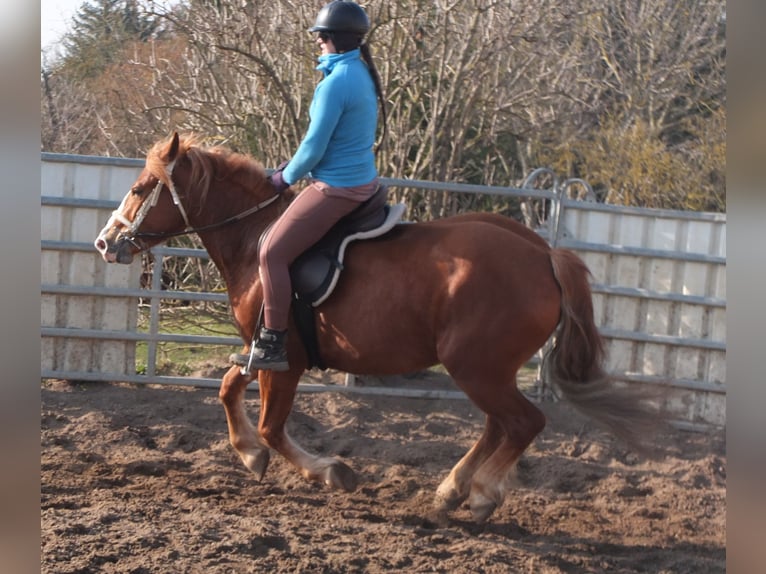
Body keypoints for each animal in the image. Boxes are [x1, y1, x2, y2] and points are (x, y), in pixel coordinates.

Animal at [94, 132, 660, 528]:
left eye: (140, 189)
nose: (104, 242)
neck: (255, 241)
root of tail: (544, 253)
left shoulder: (283, 360)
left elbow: (273, 427)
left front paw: (328, 470)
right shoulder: (258, 352)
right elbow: (229, 388)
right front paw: (250, 455)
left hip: (476, 367)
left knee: (523, 423)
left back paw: (479, 495)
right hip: (486, 370)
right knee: (500, 425)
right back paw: (452, 490)